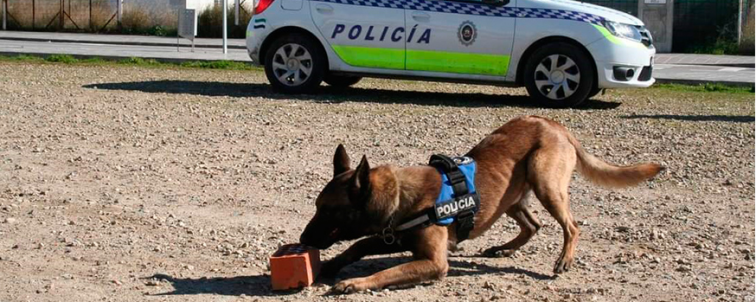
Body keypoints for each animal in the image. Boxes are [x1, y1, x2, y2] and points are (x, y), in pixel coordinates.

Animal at [298, 115, 664, 292]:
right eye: (315, 206)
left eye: (328, 210)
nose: (302, 240)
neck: (399, 194)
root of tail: (554, 123)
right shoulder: (393, 237)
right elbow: (357, 246)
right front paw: (332, 264)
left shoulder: (433, 262)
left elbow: (388, 271)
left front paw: (355, 283)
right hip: (511, 198)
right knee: (533, 225)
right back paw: (503, 249)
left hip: (546, 184)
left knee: (571, 226)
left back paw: (563, 260)